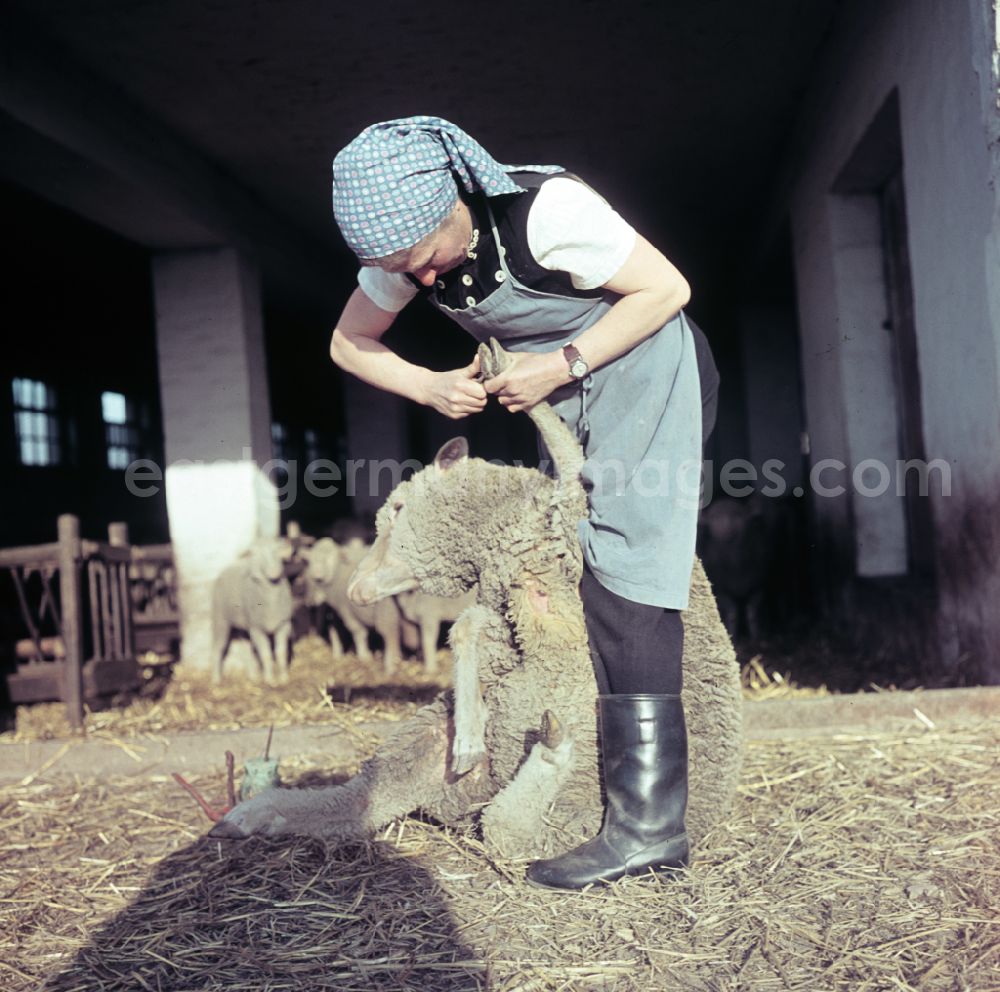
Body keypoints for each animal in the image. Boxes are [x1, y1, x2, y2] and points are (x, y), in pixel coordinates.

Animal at [209, 540, 292, 684]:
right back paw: (216, 679)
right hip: (220, 618)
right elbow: (265, 655)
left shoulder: (284, 624)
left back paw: (252, 676)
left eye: (277, 551)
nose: (274, 571)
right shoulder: (257, 628)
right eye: (258, 555)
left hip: (244, 625)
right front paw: (270, 680)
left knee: (246, 650)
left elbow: (281, 653)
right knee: (217, 648)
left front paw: (284, 678)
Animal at [302, 536, 404, 676]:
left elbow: (359, 633)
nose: (317, 572)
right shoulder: (337, 611)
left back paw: (390, 667)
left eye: (330, 556)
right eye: (313, 558)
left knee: (390, 636)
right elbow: (335, 630)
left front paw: (364, 656)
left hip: (387, 612)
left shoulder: (348, 612)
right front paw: (338, 654)